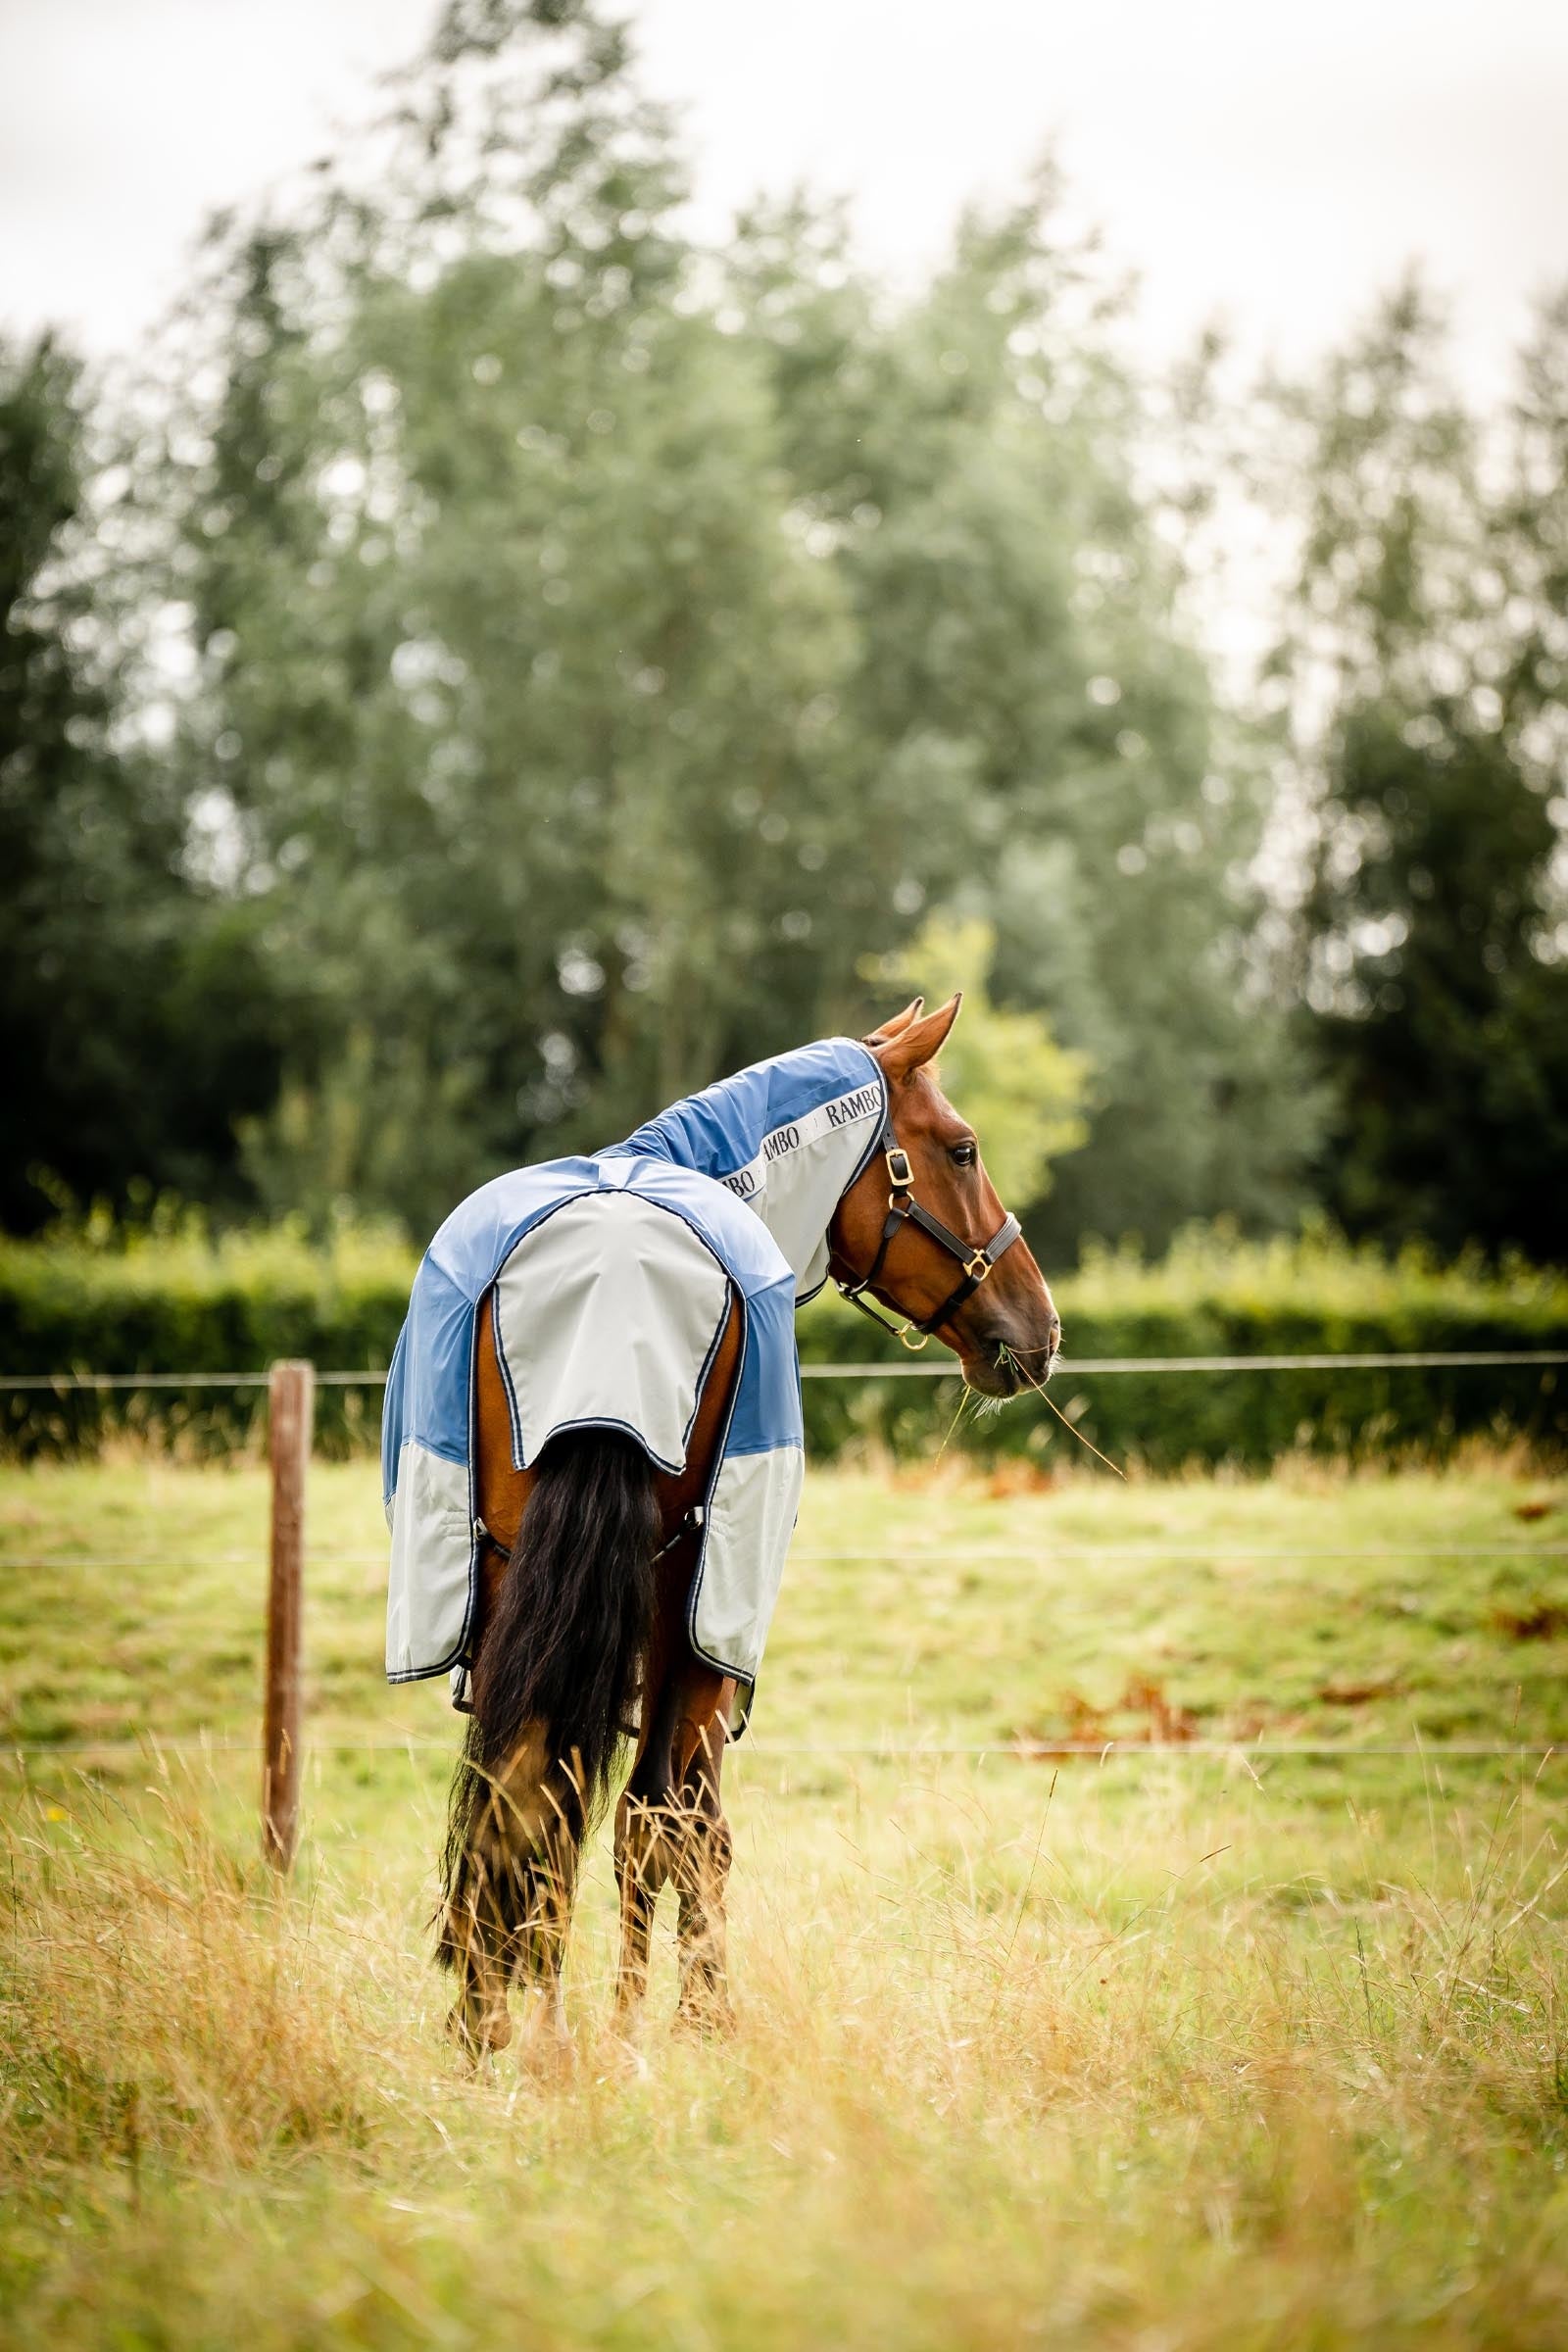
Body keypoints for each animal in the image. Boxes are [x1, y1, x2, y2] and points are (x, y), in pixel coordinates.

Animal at [423, 993, 1061, 2056]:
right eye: (963, 1149)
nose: (1040, 1327)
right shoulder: (708, 1649)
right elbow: (698, 1825)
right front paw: (696, 2015)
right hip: (689, 1611)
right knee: (646, 1815)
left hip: (517, 1578)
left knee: (527, 1794)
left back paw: (507, 2024)